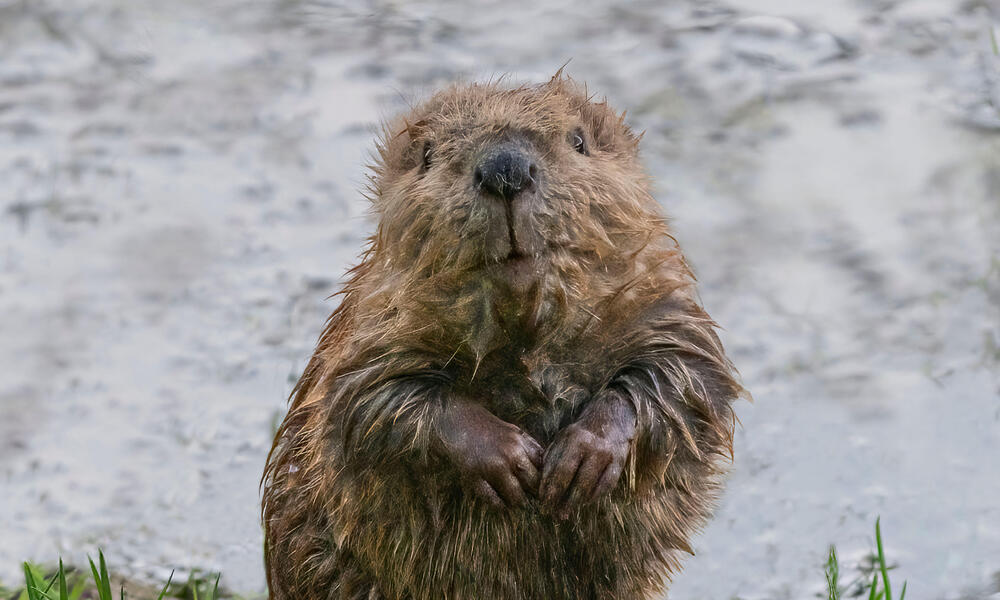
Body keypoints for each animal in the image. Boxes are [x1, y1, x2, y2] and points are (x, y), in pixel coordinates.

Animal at [262, 72, 748, 596]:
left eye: (578, 141)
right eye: (428, 154)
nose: (505, 169)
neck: (526, 328)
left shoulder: (656, 298)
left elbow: (687, 373)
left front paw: (579, 460)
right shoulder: (374, 320)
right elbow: (368, 402)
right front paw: (510, 459)